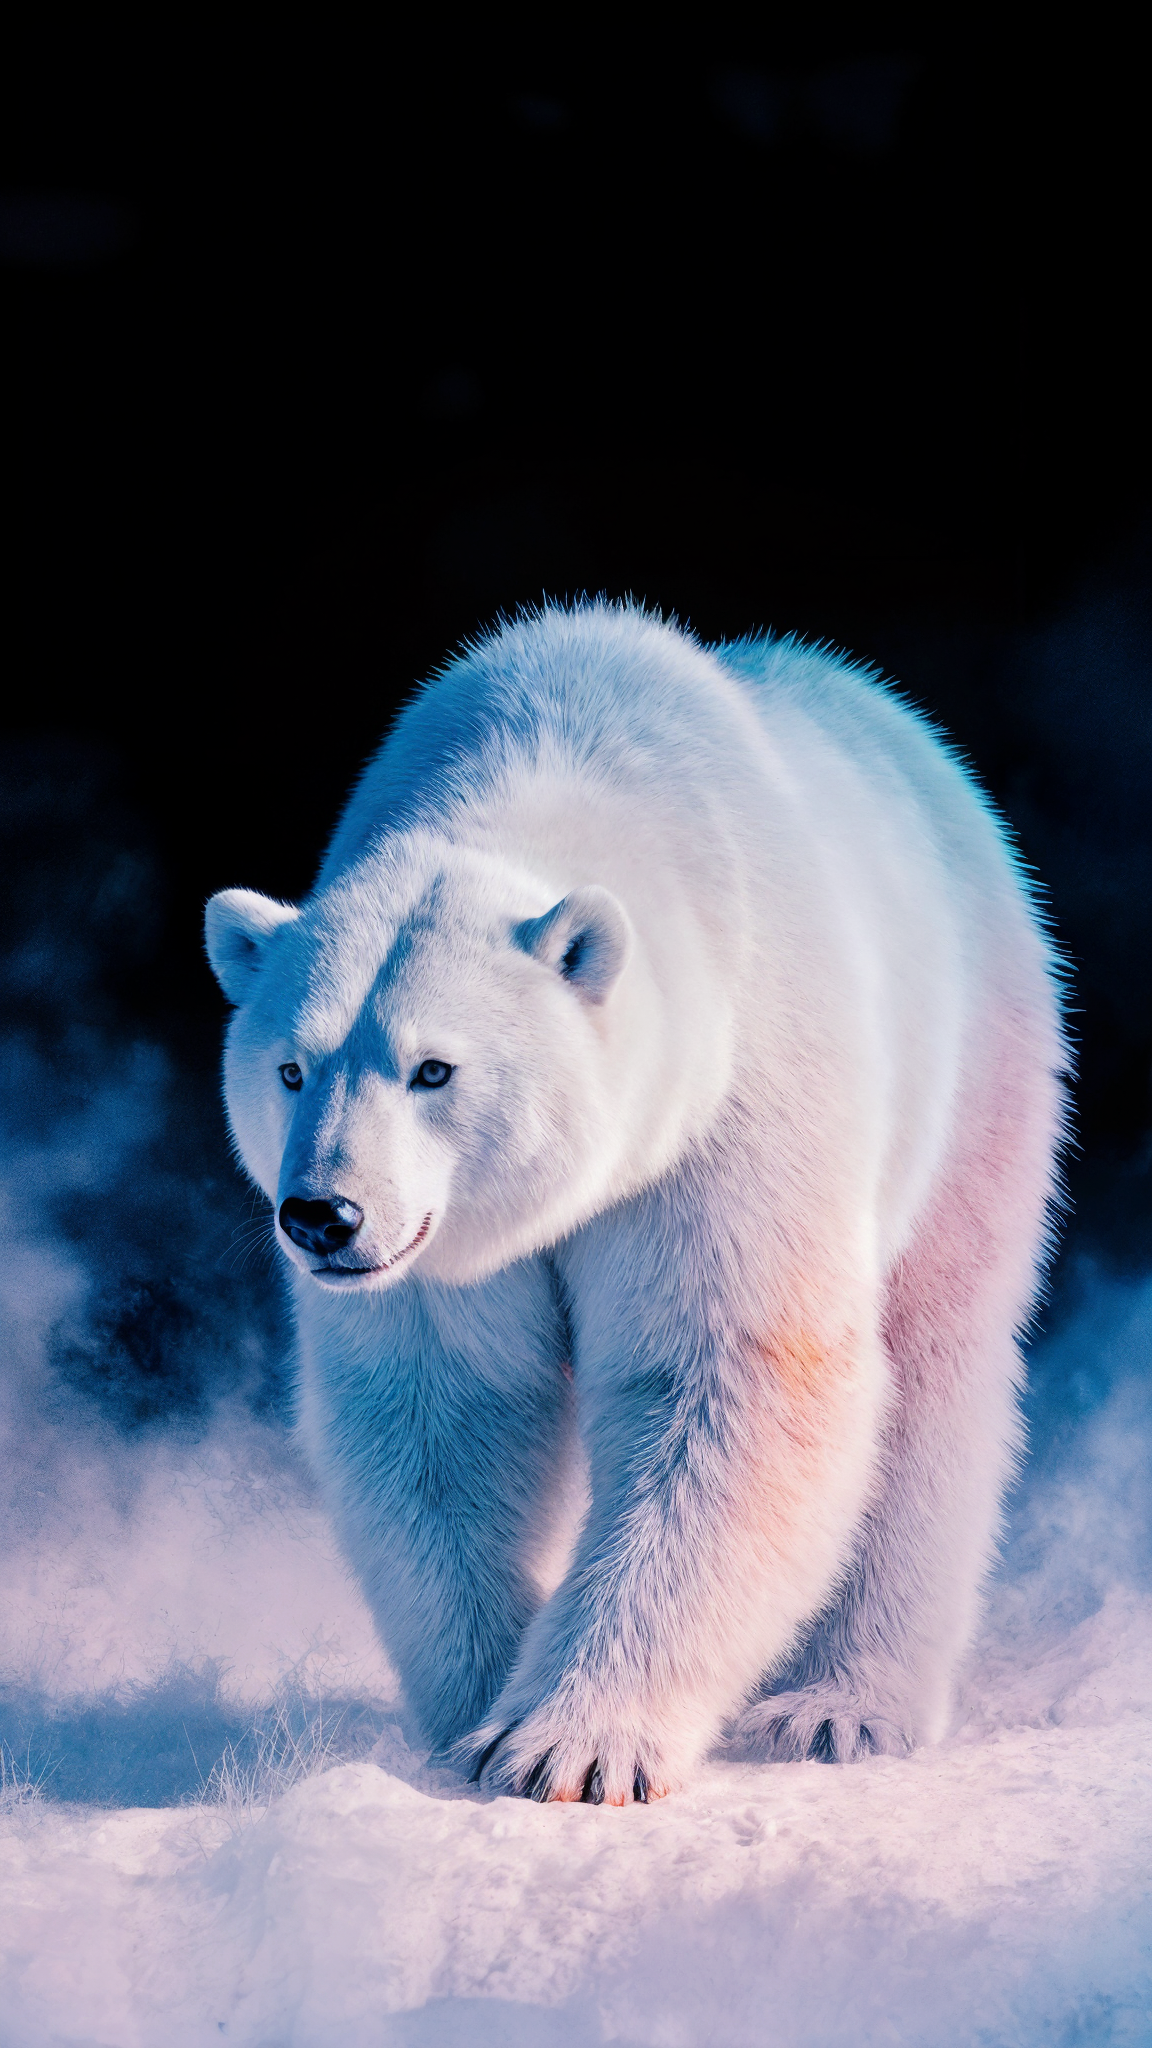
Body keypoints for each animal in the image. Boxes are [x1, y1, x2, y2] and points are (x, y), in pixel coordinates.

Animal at [204, 603, 1065, 1804]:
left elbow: (725, 1373)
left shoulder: (725, 1115)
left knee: (938, 1360)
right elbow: (443, 1405)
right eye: (291, 1066)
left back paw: (839, 1705)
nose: (324, 1216)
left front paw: (565, 1746)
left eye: (434, 1068)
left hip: (979, 1062)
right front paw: (473, 1713)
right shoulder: (441, 1251)